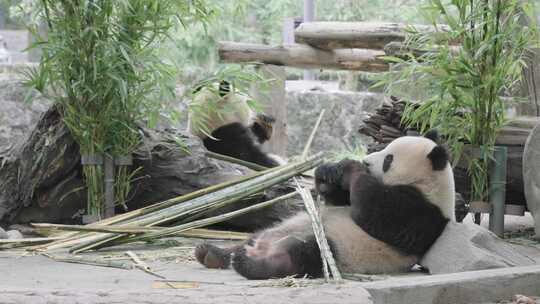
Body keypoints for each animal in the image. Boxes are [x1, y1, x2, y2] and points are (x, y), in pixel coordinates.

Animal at [194, 132, 456, 280]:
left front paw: (350, 167)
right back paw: (212, 253)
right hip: (275, 230)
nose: (366, 161)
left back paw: (248, 264)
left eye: (389, 159)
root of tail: (263, 247)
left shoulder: (422, 212)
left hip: (337, 248)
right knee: (251, 238)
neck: (430, 185)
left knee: (304, 255)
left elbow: (375, 212)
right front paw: (328, 172)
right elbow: (337, 199)